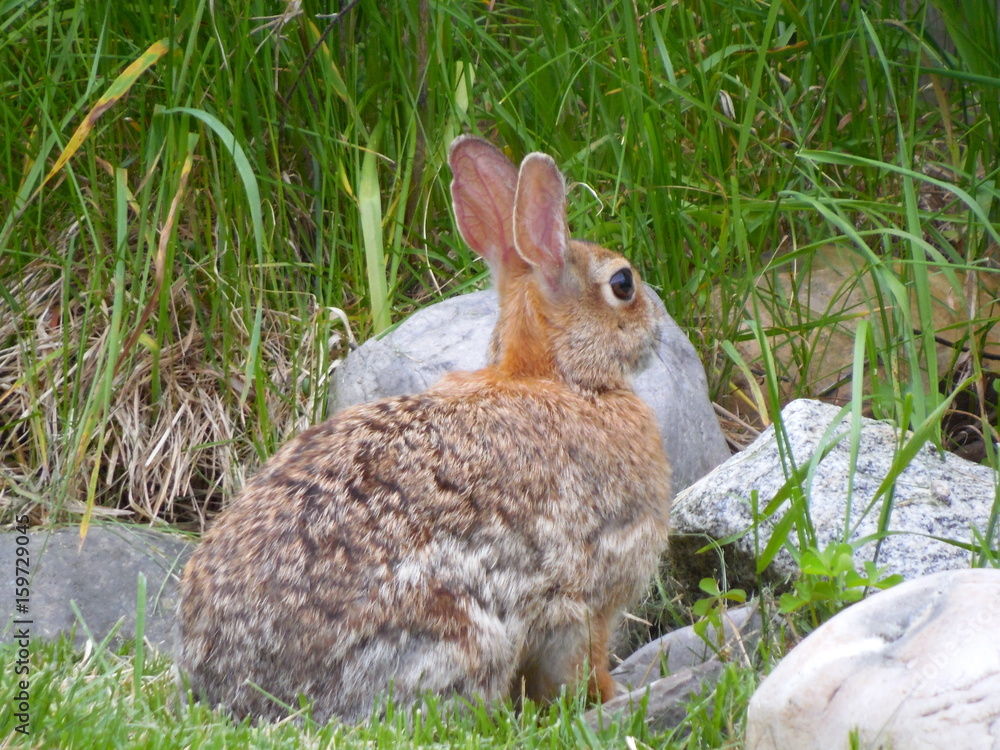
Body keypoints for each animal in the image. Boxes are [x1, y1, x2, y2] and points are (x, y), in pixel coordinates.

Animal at [176, 135, 672, 724]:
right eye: (623, 284)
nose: (659, 330)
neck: (562, 379)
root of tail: (238, 693)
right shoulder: (591, 593)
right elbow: (583, 665)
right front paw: (616, 697)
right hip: (456, 635)